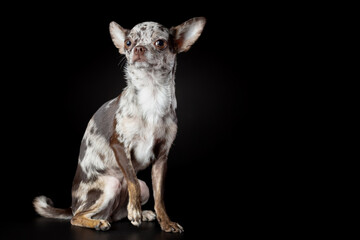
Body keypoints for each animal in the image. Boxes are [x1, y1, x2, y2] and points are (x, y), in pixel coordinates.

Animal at [33, 16, 205, 232]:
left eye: (160, 43)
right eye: (128, 43)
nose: (138, 48)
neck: (152, 95)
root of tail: (72, 205)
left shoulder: (161, 158)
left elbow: (159, 197)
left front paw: (165, 222)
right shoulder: (120, 146)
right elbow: (131, 179)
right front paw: (135, 211)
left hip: (143, 188)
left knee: (116, 213)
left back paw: (142, 213)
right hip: (110, 185)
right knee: (77, 217)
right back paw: (98, 222)